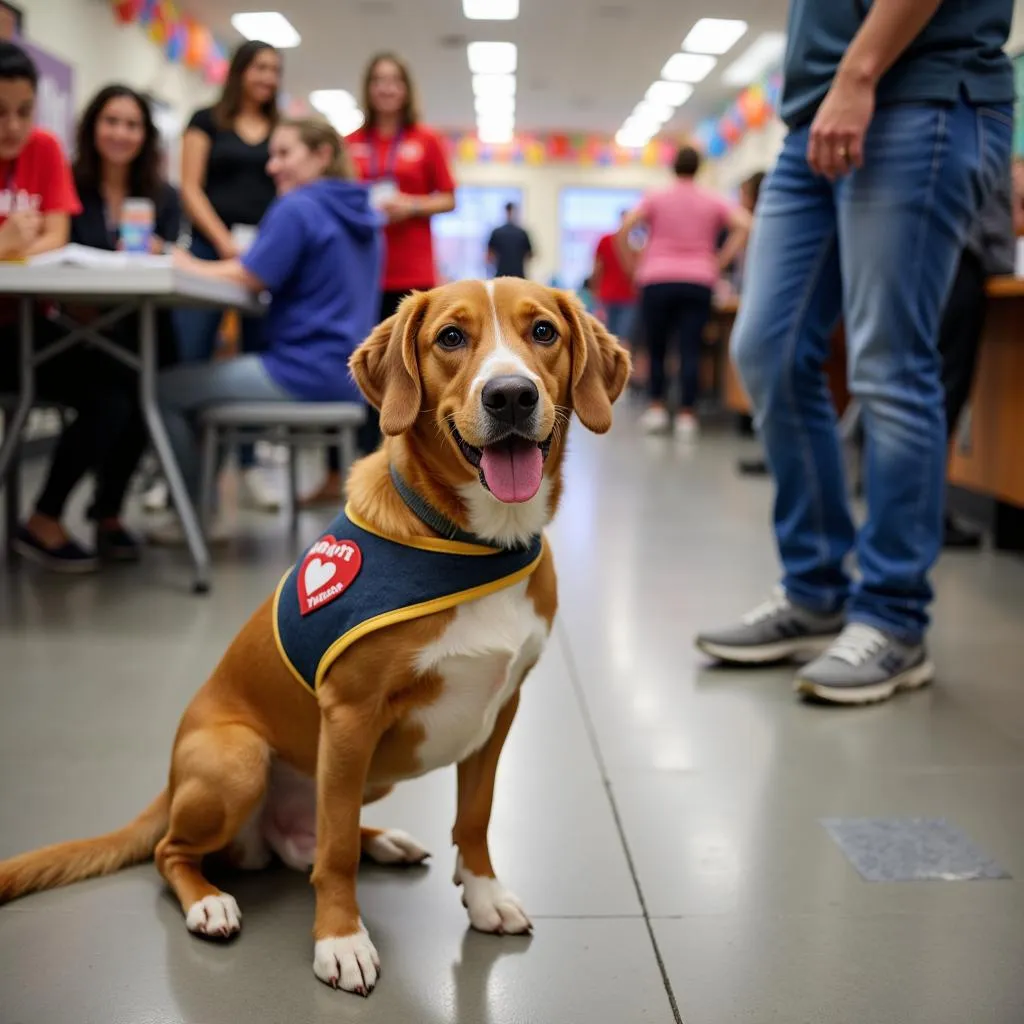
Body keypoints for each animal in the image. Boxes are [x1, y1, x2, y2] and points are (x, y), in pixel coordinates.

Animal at [0, 276, 626, 995]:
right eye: (450, 337)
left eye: (544, 331)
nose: (511, 395)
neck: (471, 542)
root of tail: (169, 782)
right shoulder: (350, 716)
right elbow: (335, 853)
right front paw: (340, 940)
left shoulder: (500, 711)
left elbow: (475, 816)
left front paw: (484, 894)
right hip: (240, 760)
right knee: (180, 851)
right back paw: (210, 901)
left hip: (362, 774)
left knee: (312, 838)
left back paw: (383, 840)